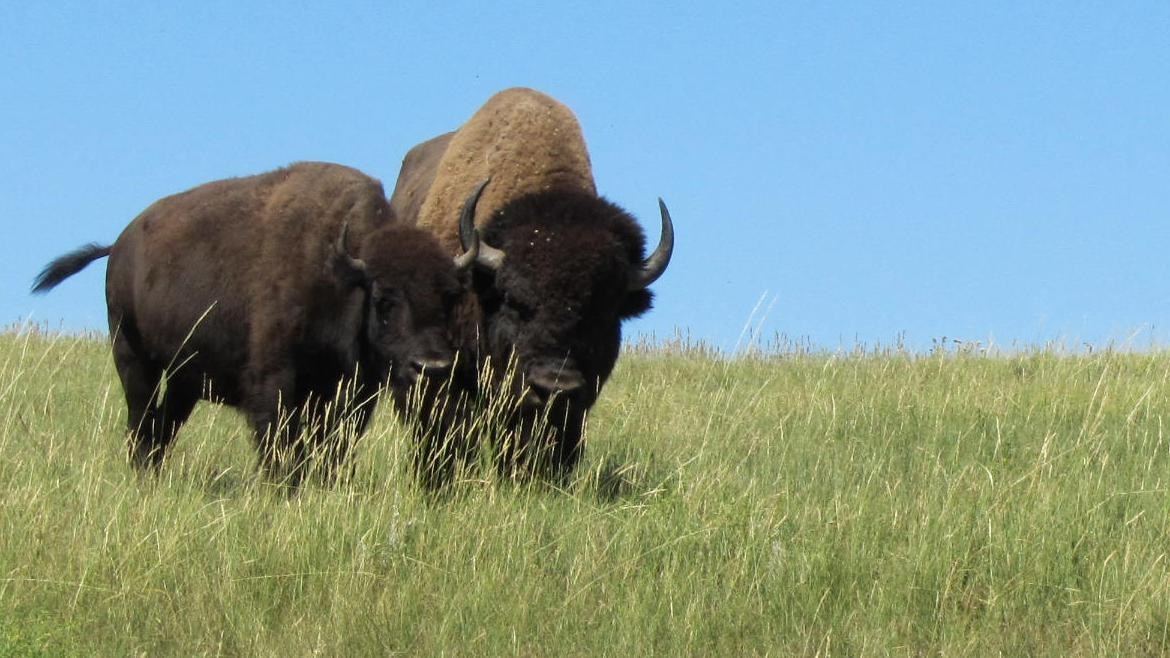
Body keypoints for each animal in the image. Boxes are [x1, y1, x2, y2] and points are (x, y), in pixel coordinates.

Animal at [33, 160, 479, 484]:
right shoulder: (273, 382)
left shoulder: (353, 394)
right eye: (385, 300)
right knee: (141, 424)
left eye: (450, 295)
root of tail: (119, 245)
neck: (342, 274)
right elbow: (279, 447)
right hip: (133, 359)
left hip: (183, 381)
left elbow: (333, 450)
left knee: (162, 429)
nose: (432, 366)